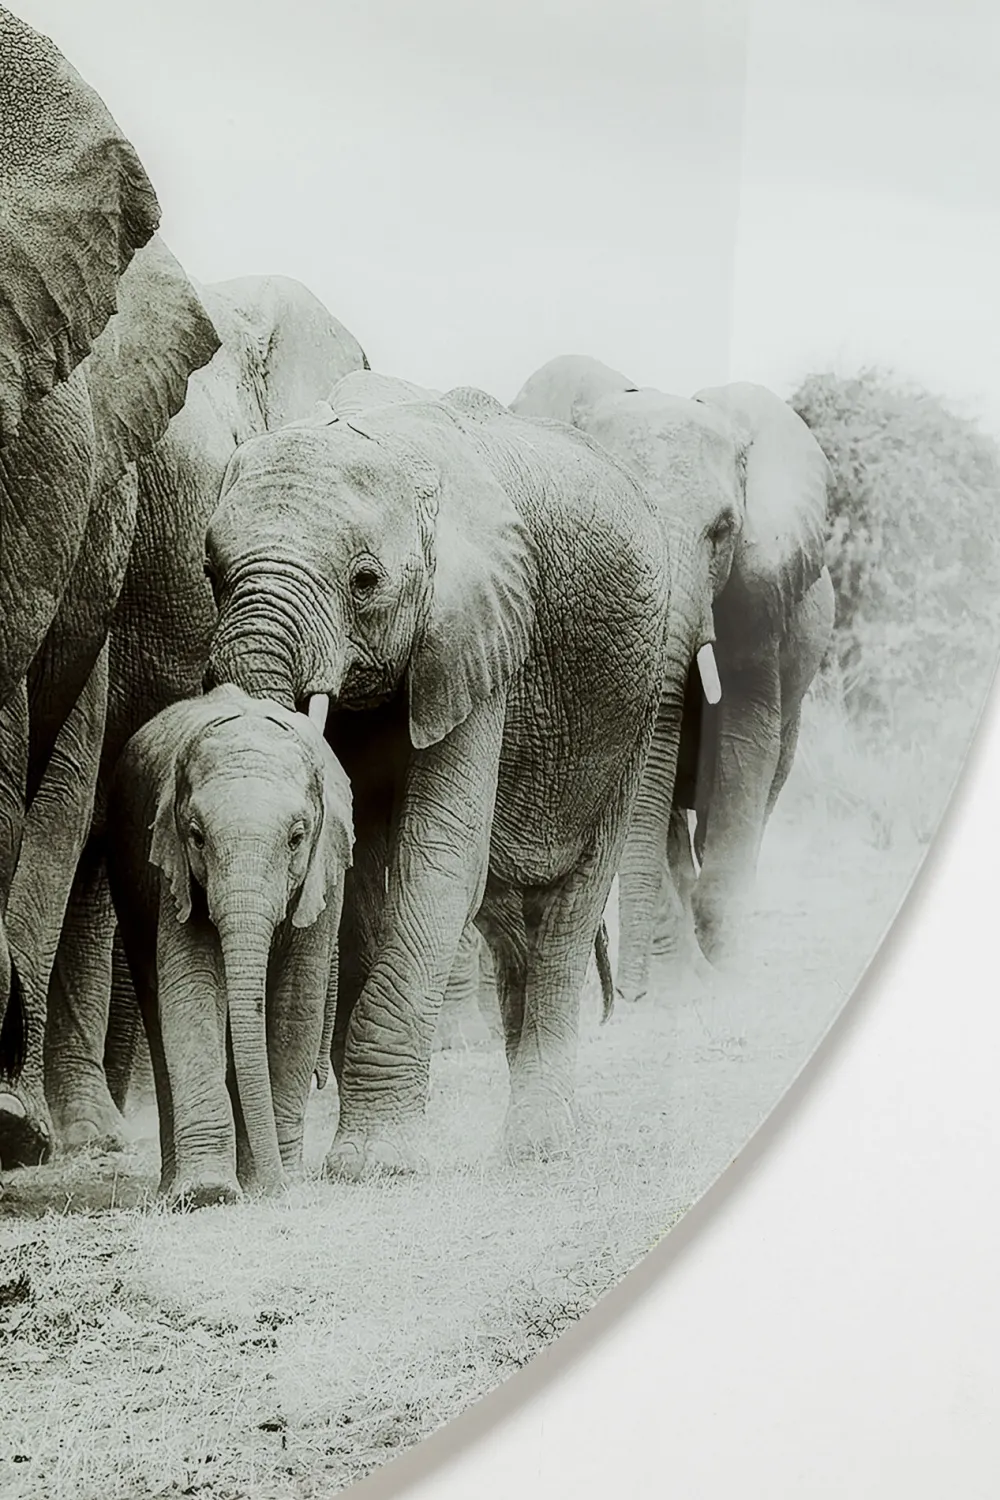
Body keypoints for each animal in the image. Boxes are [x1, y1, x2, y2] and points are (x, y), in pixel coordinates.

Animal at [106, 685, 354, 1207]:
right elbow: (192, 989)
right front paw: (209, 1193)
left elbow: (296, 1003)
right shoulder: (173, 872)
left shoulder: (325, 877)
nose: (283, 1190)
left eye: (297, 838)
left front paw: (273, 1183)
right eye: (197, 837)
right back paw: (176, 1186)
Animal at [203, 371, 673, 1174]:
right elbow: (366, 865)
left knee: (567, 910)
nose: (272, 1170)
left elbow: (439, 856)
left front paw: (373, 1165)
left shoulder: (483, 637)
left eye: (365, 581)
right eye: (211, 572)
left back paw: (539, 1145)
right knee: (508, 916)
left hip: (632, 711)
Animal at [510, 356, 835, 996]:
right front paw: (674, 985)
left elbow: (743, 736)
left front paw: (723, 965)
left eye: (724, 530)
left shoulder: (757, 595)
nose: (625, 994)